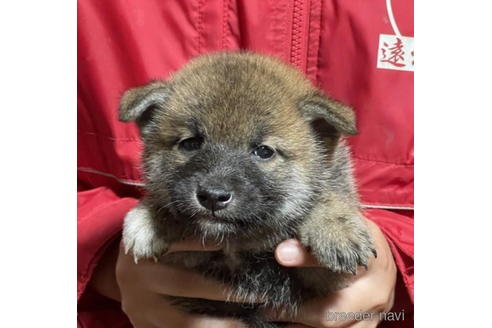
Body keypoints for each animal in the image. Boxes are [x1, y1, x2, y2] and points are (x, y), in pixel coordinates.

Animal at [119, 52, 376, 326]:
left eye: (263, 151)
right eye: (190, 143)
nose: (213, 197)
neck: (240, 246)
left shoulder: (323, 284)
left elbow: (324, 195)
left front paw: (336, 229)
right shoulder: (184, 263)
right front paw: (150, 218)